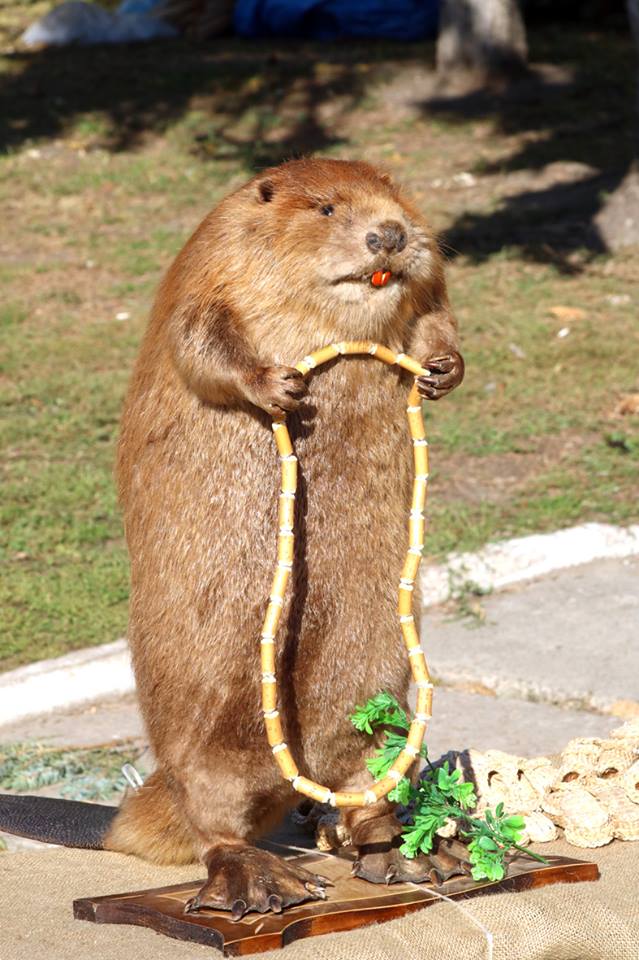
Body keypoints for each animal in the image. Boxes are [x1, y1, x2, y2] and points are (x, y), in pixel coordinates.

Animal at [0, 159, 462, 924]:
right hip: (212, 727)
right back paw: (261, 883)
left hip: (374, 689)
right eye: (326, 207)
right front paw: (278, 387)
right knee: (217, 822)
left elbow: (433, 312)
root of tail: (121, 822)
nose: (390, 235)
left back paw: (411, 853)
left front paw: (443, 368)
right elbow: (199, 342)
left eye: (395, 195)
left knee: (362, 779)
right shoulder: (210, 267)